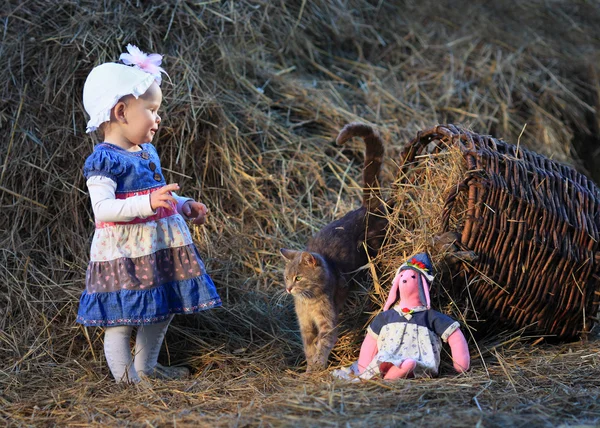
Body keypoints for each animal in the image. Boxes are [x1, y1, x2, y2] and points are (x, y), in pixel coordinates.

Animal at [280, 122, 386, 372]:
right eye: (286, 277)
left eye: (298, 278)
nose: (288, 289)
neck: (308, 302)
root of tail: (366, 207)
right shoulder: (305, 326)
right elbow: (309, 347)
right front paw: (310, 368)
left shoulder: (327, 323)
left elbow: (323, 343)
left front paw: (317, 368)